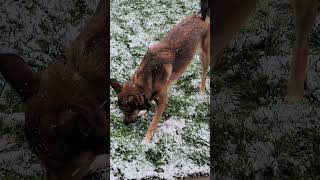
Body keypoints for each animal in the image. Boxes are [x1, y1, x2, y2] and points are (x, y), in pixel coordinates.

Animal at [110, 13, 210, 143]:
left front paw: (146, 141)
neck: (147, 79)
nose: (125, 124)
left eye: (128, 111)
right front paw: (143, 111)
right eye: (122, 110)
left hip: (205, 56)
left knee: (204, 74)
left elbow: (153, 124)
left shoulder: (162, 102)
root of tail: (201, 16)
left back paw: (201, 92)